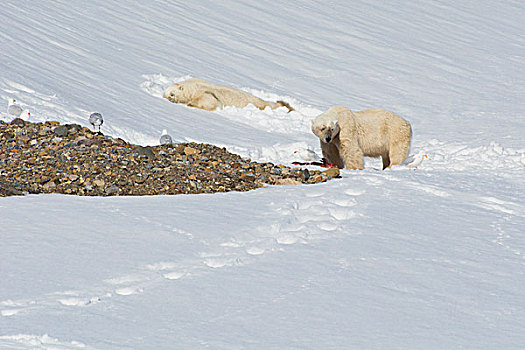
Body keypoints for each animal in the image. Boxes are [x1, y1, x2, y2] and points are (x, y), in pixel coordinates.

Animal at [163, 78, 292, 111]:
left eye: (172, 94)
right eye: (166, 94)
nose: (169, 99)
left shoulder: (205, 92)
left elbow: (210, 101)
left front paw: (191, 104)